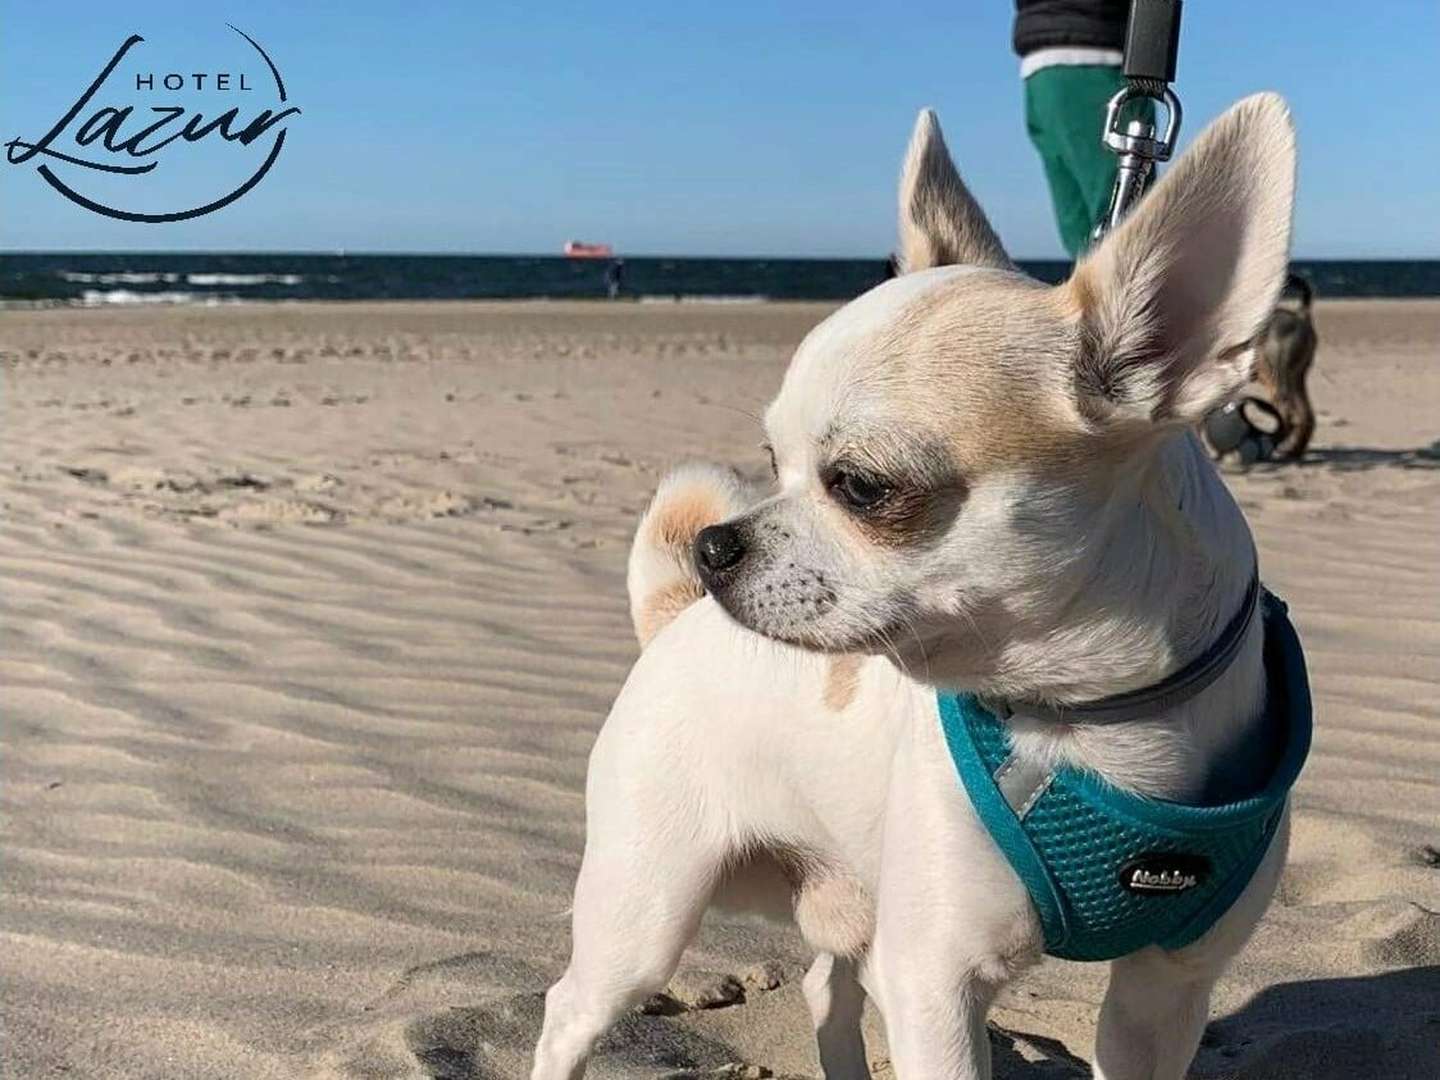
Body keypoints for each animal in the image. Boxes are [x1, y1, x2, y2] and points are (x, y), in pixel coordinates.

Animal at [535, 95, 1301, 1080]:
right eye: (771, 461)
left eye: (861, 487)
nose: (714, 546)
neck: (1091, 723)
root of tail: (670, 621)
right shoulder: (935, 978)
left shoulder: (1164, 994)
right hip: (646, 911)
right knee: (571, 1006)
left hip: (852, 894)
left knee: (826, 986)